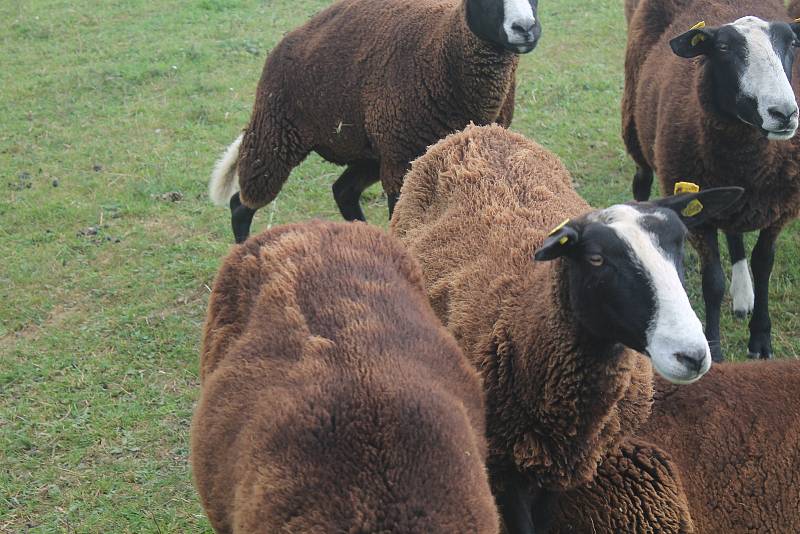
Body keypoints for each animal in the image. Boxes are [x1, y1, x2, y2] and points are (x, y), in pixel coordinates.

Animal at [209, 0, 544, 243]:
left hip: (370, 149)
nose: (525, 28)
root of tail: (292, 37)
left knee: (342, 191)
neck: (443, 49)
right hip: (275, 134)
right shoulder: (401, 160)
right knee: (240, 205)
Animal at [390, 125, 740, 534]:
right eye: (596, 259)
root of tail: (475, 130)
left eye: (680, 244)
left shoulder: (567, 466)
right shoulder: (504, 467)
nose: (693, 355)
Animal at [620, 0, 800, 362]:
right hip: (636, 126)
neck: (748, 162)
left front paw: (761, 338)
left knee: (735, 231)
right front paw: (715, 349)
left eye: (792, 43)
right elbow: (713, 282)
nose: (784, 113)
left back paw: (743, 295)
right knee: (641, 180)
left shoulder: (778, 209)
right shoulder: (698, 212)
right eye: (723, 48)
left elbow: (764, 264)